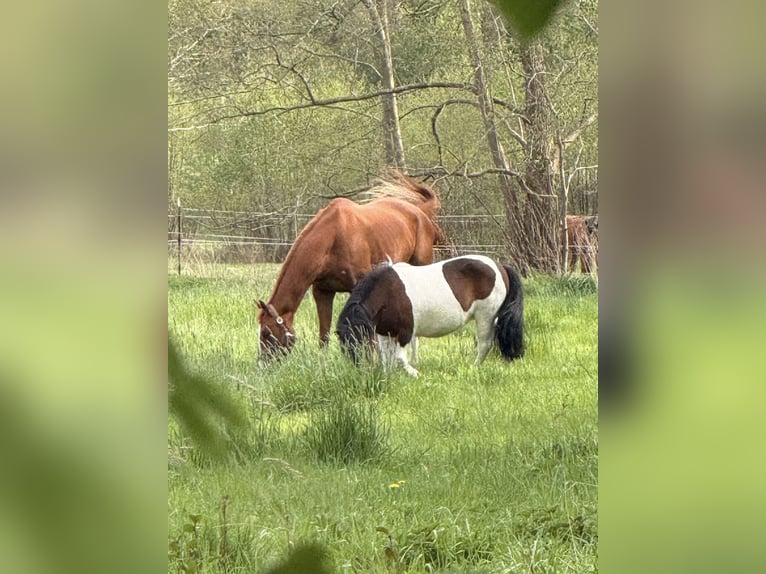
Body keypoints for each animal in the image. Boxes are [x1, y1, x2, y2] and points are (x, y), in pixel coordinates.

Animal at [256, 171, 443, 360]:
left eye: (266, 333)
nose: (262, 363)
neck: (333, 238)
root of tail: (421, 212)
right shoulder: (322, 292)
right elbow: (324, 335)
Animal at [336, 255, 525, 377]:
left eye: (360, 340)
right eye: (345, 344)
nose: (360, 366)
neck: (388, 292)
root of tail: (500, 267)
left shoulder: (405, 333)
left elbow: (399, 357)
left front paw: (415, 374)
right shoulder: (384, 334)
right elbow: (386, 359)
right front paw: (389, 377)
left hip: (486, 316)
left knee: (485, 344)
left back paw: (474, 367)